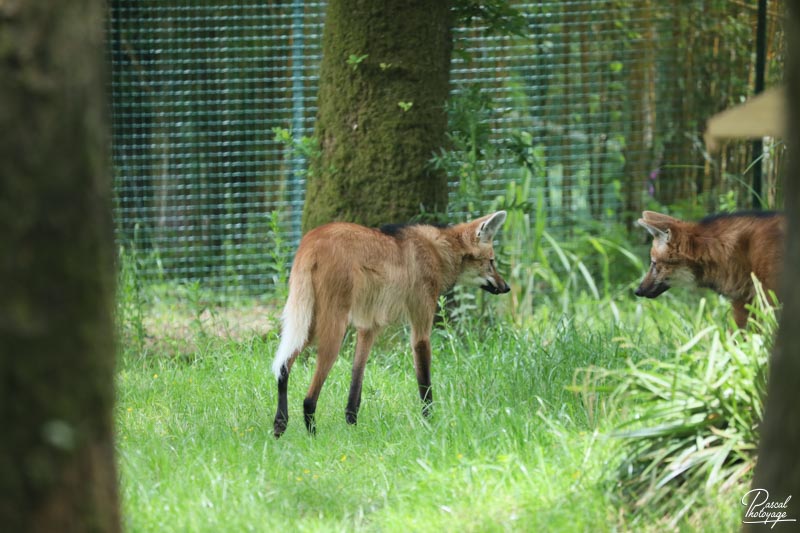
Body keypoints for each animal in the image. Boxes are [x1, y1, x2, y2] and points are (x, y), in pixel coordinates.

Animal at [272, 210, 510, 434]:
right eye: (491, 262)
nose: (506, 287)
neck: (439, 251)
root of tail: (311, 240)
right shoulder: (420, 328)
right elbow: (424, 383)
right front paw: (430, 423)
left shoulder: (368, 327)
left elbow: (355, 385)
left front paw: (352, 427)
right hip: (334, 329)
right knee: (308, 398)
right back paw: (313, 435)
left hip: (309, 323)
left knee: (282, 367)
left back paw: (280, 425)